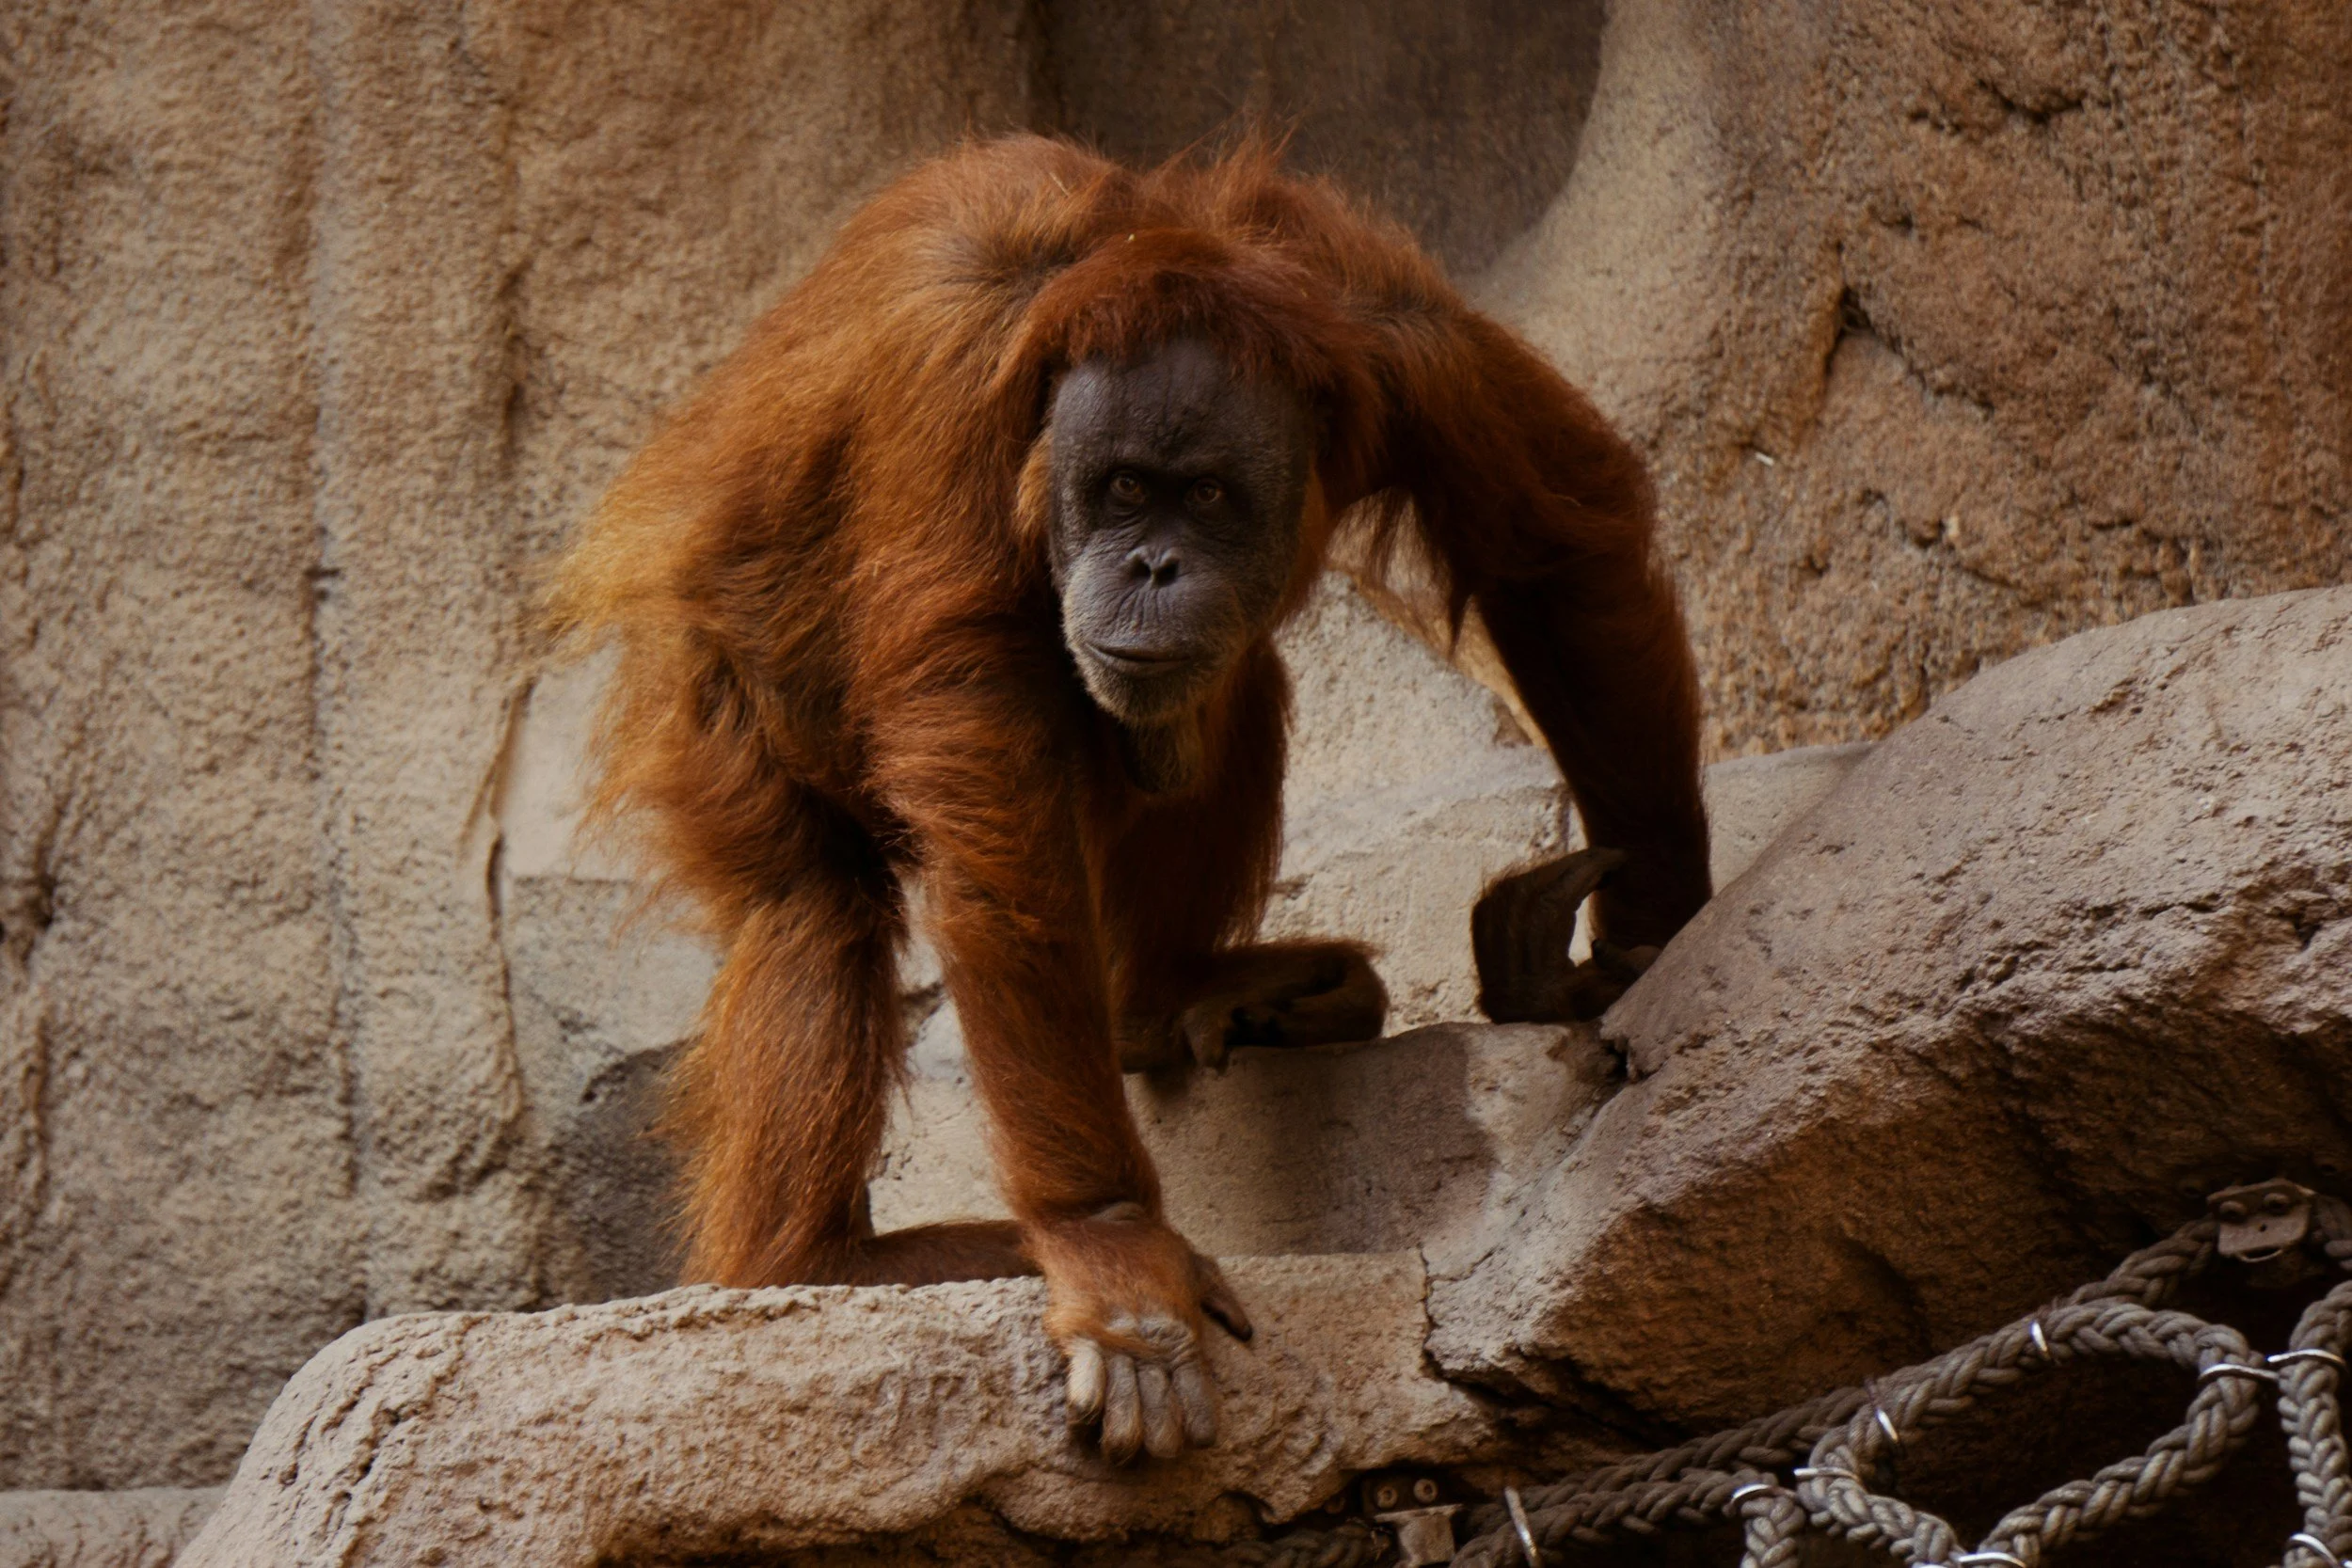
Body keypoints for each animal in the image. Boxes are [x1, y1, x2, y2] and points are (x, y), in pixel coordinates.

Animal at [547, 136, 1710, 1464]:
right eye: (1116, 489)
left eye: (1201, 496)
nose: (1152, 567)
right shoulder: (955, 403)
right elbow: (984, 771)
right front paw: (1111, 1253)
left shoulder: (1399, 333)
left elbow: (1555, 548)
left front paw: (1637, 940)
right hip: (707, 685)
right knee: (814, 903)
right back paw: (817, 1258)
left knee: (1228, 686)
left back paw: (1170, 999)